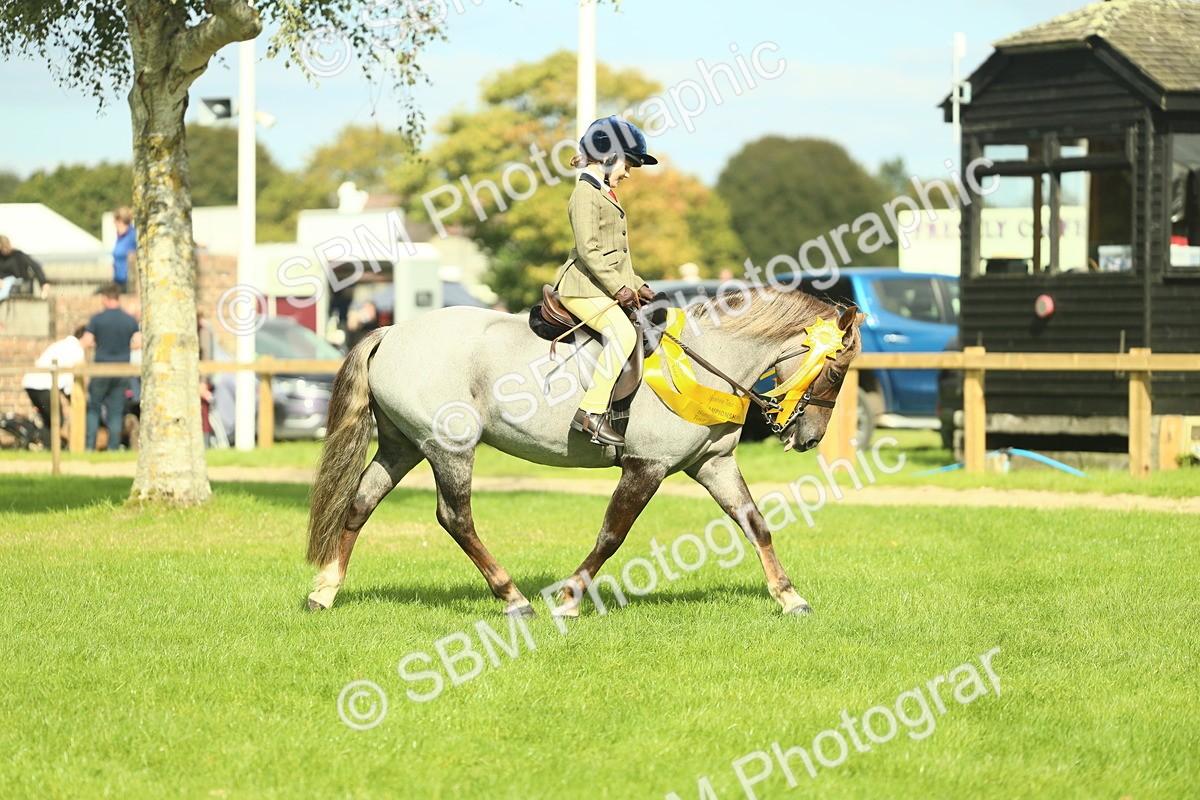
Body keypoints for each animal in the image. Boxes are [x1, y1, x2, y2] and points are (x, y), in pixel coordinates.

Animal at [305, 287, 863, 617]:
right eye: (836, 369)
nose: (808, 438)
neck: (708, 358)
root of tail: (392, 331)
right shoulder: (646, 466)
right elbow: (612, 535)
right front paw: (570, 598)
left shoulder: (713, 463)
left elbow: (755, 524)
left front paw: (790, 597)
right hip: (449, 447)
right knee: (455, 518)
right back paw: (514, 599)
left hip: (402, 446)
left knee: (360, 503)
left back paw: (325, 590)